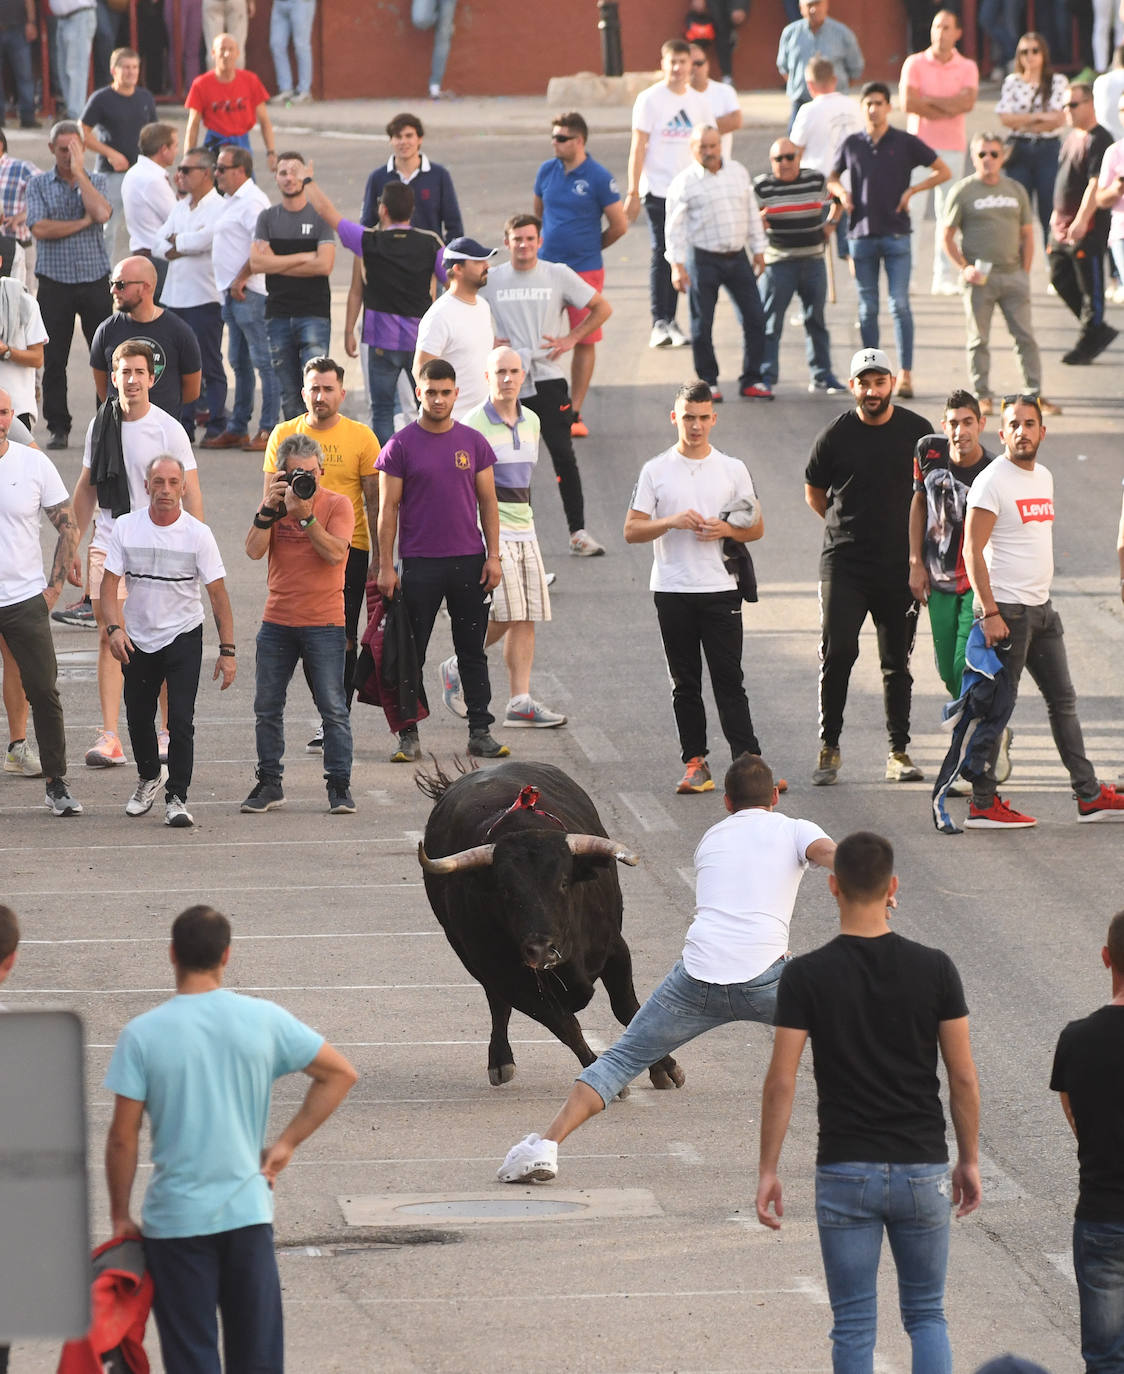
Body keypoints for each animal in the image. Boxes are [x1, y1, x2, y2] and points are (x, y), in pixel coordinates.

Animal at [414, 763, 684, 1093]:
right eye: (505, 890)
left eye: (564, 882)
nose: (542, 949)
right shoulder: (509, 978)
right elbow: (566, 1026)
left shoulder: (615, 949)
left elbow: (627, 1008)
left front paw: (665, 1068)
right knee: (498, 1006)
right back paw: (500, 1061)